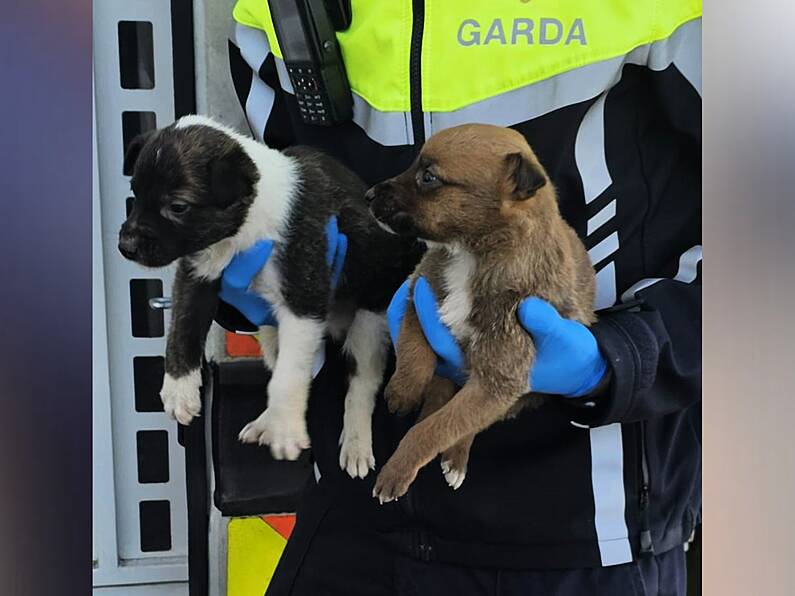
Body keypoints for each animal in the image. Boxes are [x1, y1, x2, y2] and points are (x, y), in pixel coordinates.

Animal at [119, 116, 416, 478]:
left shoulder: (303, 302)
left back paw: (355, 443)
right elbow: (182, 331)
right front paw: (179, 390)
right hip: (271, 328)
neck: (246, 226)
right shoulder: (198, 275)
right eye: (135, 193)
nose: (125, 246)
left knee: (361, 382)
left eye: (178, 207)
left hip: (369, 319)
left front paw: (287, 430)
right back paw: (267, 422)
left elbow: (290, 375)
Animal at [364, 123, 592, 500]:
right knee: (441, 392)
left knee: (463, 424)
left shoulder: (496, 383)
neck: (471, 256)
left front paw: (399, 468)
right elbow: (414, 349)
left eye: (428, 177)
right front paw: (403, 391)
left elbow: (437, 430)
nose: (368, 195)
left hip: (516, 396)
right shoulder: (417, 290)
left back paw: (455, 457)